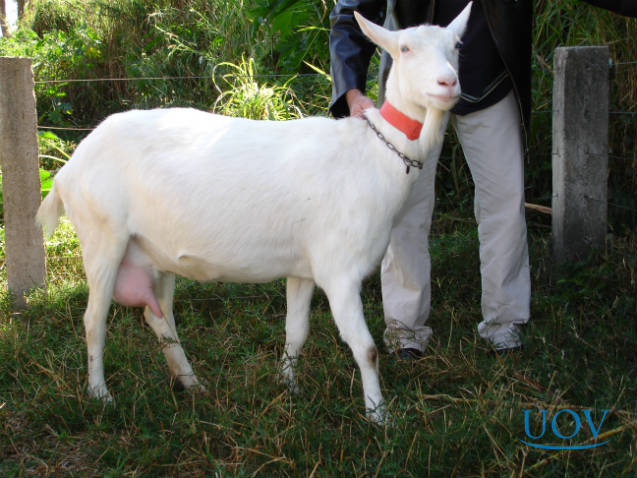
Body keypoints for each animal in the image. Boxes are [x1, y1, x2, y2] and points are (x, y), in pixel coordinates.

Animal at [36, 4, 472, 422]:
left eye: (457, 46)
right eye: (405, 48)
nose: (449, 83)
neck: (376, 154)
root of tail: (68, 170)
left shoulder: (303, 267)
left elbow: (296, 331)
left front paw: (289, 388)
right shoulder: (340, 270)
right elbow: (365, 348)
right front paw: (380, 416)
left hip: (152, 252)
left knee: (160, 318)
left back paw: (191, 383)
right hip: (101, 236)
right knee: (94, 320)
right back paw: (101, 396)